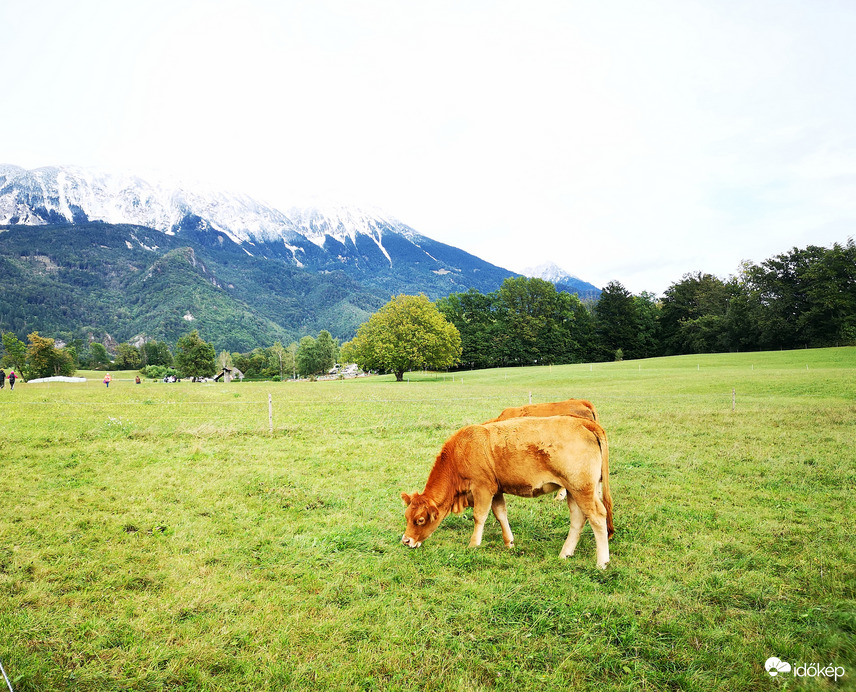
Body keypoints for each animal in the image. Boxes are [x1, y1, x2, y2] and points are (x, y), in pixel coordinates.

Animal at [402, 416, 616, 568]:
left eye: (420, 520)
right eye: (407, 516)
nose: (405, 541)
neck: (460, 451)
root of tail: (583, 422)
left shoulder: (482, 488)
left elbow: (479, 516)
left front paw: (474, 544)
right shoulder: (496, 490)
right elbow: (500, 514)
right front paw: (509, 543)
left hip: (582, 489)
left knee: (597, 517)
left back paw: (602, 562)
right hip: (574, 490)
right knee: (578, 518)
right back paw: (565, 554)